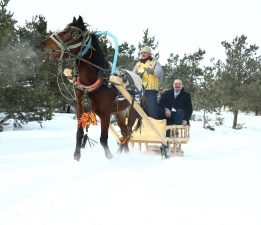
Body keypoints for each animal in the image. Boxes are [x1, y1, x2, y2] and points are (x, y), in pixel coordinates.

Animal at [44, 15, 142, 160]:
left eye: (73, 33)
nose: (45, 42)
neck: (95, 80)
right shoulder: (80, 109)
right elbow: (79, 134)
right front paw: (76, 157)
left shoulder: (106, 114)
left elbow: (103, 139)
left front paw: (110, 157)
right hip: (120, 113)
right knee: (124, 133)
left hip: (133, 111)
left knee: (128, 133)